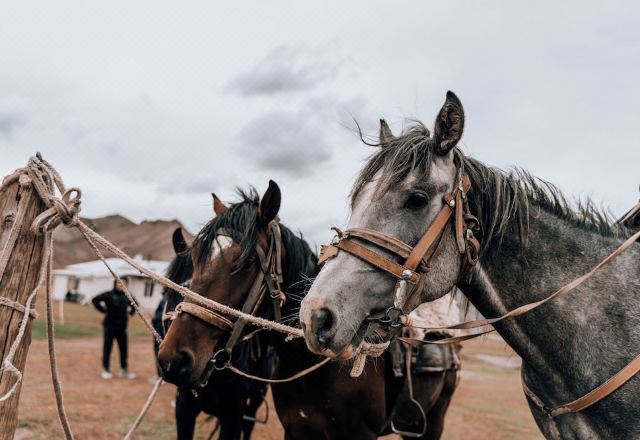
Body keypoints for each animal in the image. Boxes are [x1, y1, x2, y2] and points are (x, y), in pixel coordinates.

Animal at [159, 181, 460, 436]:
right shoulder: (295, 430)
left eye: (246, 263)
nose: (174, 358)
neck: (312, 363)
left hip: (436, 418)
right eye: (195, 260)